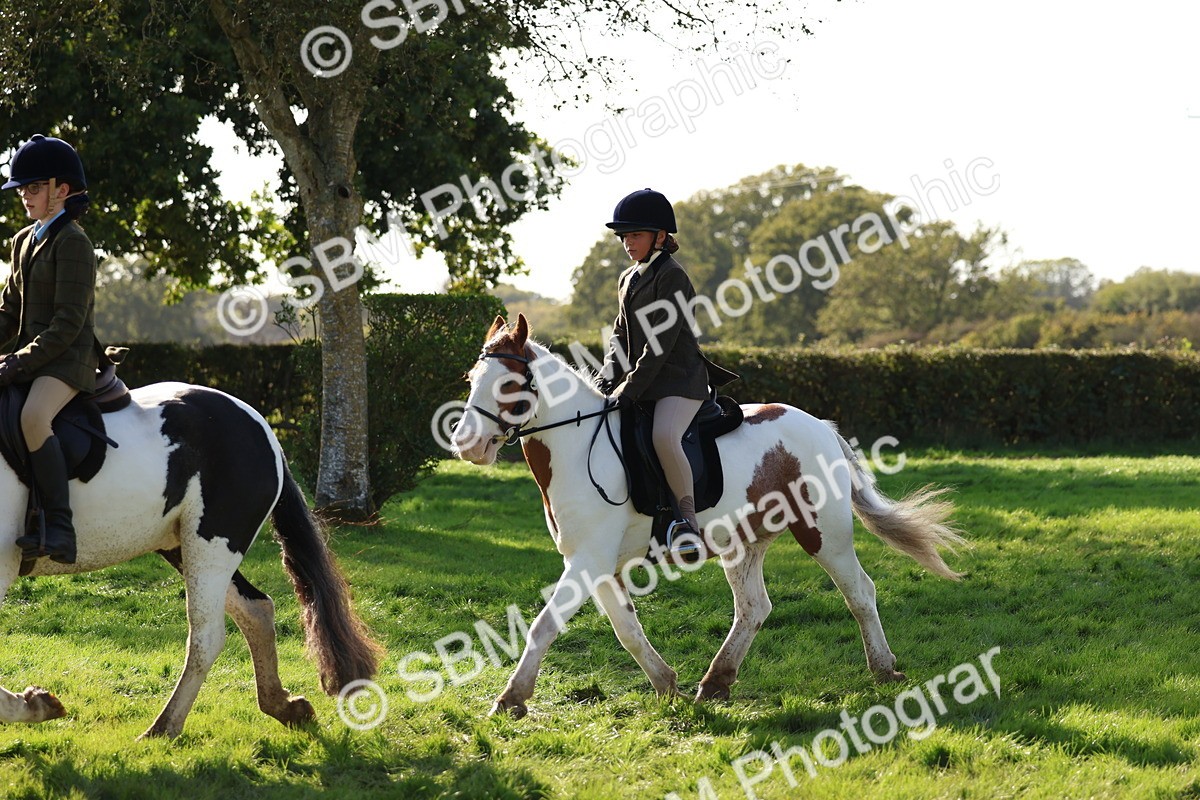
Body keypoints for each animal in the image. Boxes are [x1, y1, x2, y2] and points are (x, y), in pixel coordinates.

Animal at [0, 381, 382, 739]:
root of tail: (258, 425)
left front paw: (33, 705)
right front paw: (35, 703)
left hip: (211, 544)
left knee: (207, 638)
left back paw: (163, 728)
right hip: (185, 546)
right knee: (256, 609)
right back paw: (283, 706)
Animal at [452, 314, 967, 718]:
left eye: (508, 384)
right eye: (471, 380)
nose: (466, 444)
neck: (578, 446)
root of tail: (820, 426)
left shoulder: (587, 561)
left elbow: (544, 625)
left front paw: (511, 699)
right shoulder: (595, 564)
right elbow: (627, 629)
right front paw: (666, 684)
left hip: (824, 533)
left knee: (860, 592)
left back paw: (884, 669)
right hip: (744, 542)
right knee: (754, 608)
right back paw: (715, 682)